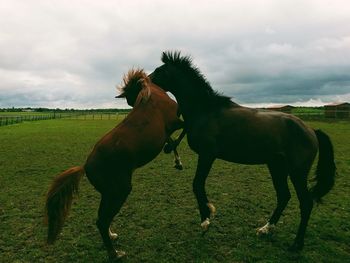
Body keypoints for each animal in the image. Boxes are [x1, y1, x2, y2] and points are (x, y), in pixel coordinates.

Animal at [45, 69, 186, 262]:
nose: (131, 105)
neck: (154, 97)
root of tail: (85, 166)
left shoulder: (167, 130)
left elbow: (172, 140)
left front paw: (177, 161)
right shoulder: (174, 123)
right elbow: (184, 131)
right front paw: (173, 154)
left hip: (108, 193)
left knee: (102, 218)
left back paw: (112, 236)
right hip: (119, 192)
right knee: (102, 221)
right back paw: (115, 253)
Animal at [150, 51, 336, 252]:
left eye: (159, 71)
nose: (142, 83)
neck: (206, 110)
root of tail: (311, 130)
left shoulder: (207, 155)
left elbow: (197, 185)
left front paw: (206, 220)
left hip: (297, 172)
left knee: (306, 202)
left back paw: (296, 244)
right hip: (277, 167)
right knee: (283, 196)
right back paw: (265, 229)